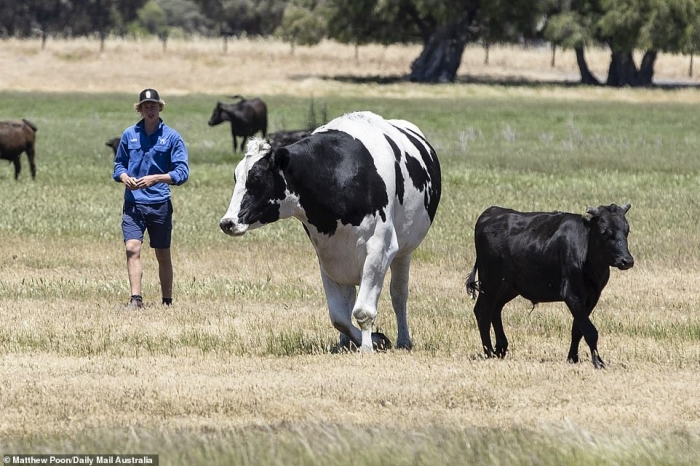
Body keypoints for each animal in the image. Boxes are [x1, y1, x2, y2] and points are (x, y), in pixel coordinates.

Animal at [219, 111, 440, 352]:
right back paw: (345, 343)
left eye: (257, 178)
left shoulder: (380, 248)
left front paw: (368, 347)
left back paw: (403, 339)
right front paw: (374, 339)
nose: (227, 222)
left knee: (399, 295)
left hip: (403, 252)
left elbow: (363, 311)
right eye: (235, 176)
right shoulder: (328, 254)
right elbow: (340, 317)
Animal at [464, 203, 636, 368]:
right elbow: (589, 330)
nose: (626, 261)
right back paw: (489, 352)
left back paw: (500, 348)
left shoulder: (593, 296)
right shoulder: (572, 294)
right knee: (483, 312)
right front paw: (597, 361)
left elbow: (577, 329)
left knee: (496, 308)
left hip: (509, 285)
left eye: (626, 230)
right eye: (605, 231)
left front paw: (572, 358)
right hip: (490, 280)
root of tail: (492, 211)